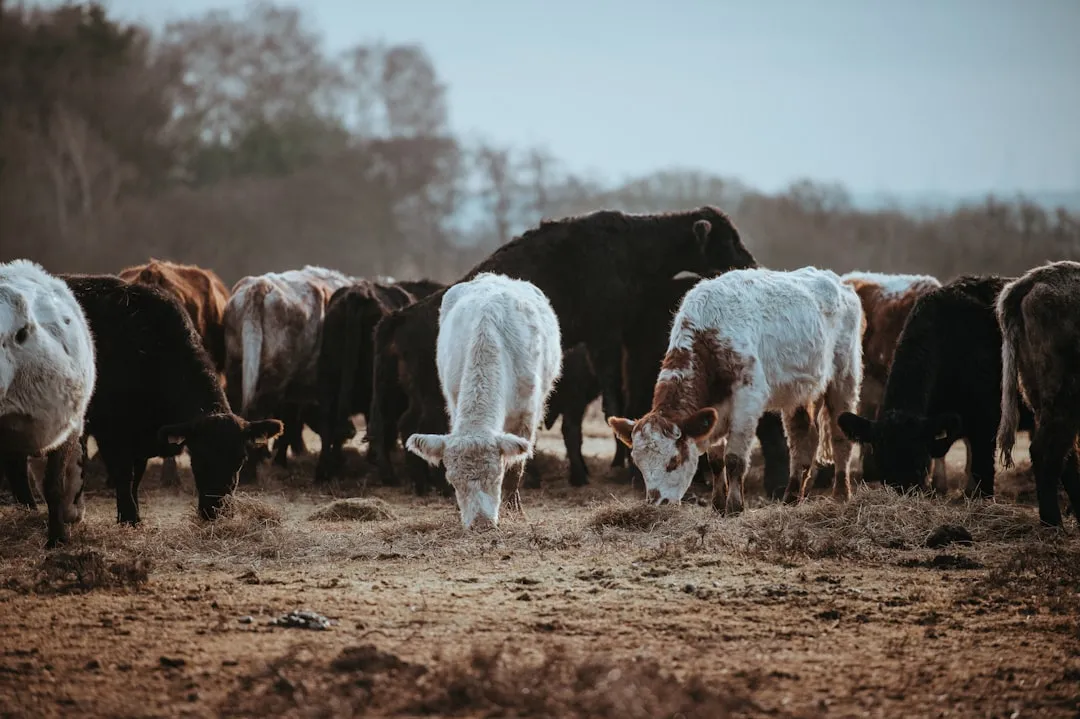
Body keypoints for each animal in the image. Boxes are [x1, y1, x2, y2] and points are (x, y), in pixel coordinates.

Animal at [223, 266, 353, 480]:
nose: (351, 432)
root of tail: (260, 286)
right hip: (276, 378)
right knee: (258, 414)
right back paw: (251, 472)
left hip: (236, 370)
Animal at [314, 277, 444, 483]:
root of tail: (359, 294)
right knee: (384, 424)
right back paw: (388, 473)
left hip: (328, 380)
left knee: (328, 422)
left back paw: (326, 469)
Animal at [369, 207, 790, 496]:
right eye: (728, 240)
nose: (752, 263)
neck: (632, 246)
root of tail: (403, 315)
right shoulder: (606, 337)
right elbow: (614, 398)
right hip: (430, 393)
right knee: (411, 425)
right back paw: (429, 485)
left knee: (404, 424)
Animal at [404, 273, 562, 529]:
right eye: (453, 481)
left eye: (495, 476)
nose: (480, 523)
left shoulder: (527, 415)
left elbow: (515, 467)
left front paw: (514, 510)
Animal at [608, 267, 864, 513]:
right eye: (639, 463)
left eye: (673, 460)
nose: (657, 503)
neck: (709, 333)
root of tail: (841, 284)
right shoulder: (714, 410)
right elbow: (716, 461)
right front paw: (718, 505)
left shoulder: (747, 401)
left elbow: (733, 459)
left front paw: (734, 507)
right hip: (800, 392)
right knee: (803, 439)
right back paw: (792, 498)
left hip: (844, 376)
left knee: (840, 436)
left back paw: (841, 495)